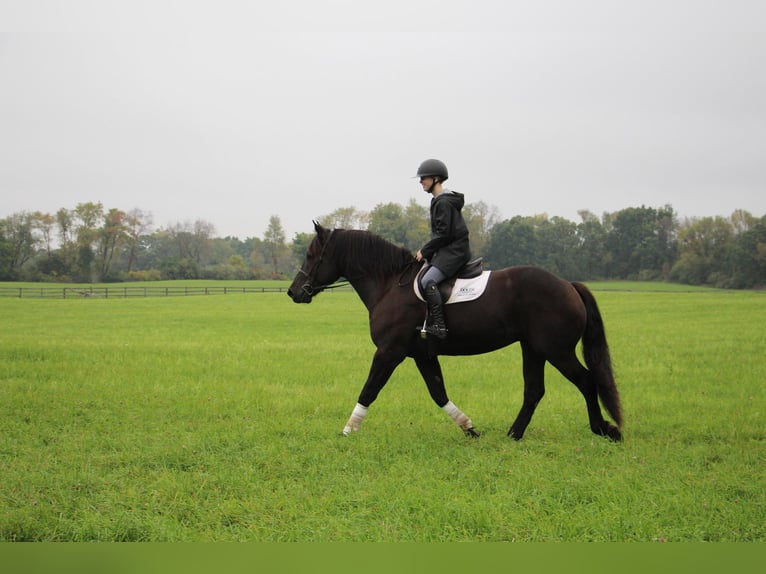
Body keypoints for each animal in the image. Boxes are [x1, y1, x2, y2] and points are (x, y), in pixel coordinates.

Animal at [288, 223, 624, 444]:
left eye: (311, 255)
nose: (294, 292)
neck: (389, 284)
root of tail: (568, 285)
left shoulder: (389, 352)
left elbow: (369, 390)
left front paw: (347, 430)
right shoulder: (421, 354)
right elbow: (438, 393)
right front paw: (469, 428)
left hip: (556, 350)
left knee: (586, 381)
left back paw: (604, 429)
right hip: (533, 348)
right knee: (534, 391)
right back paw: (513, 435)